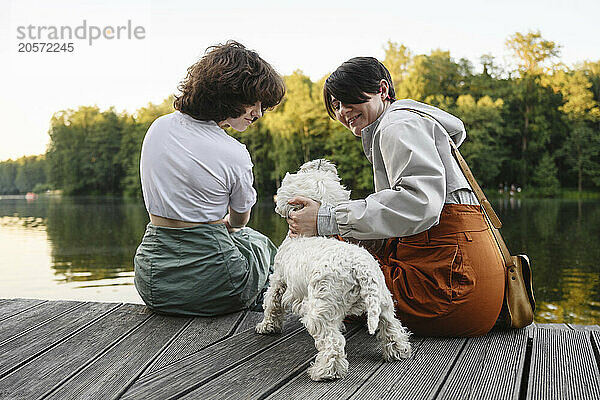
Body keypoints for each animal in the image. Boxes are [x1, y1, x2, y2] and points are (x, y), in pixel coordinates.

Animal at [255, 159, 410, 382]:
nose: (321, 162)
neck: (307, 235)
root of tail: (360, 267)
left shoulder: (279, 280)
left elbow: (271, 303)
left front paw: (266, 326)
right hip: (384, 303)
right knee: (393, 329)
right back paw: (398, 352)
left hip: (320, 311)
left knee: (333, 345)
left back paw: (323, 372)